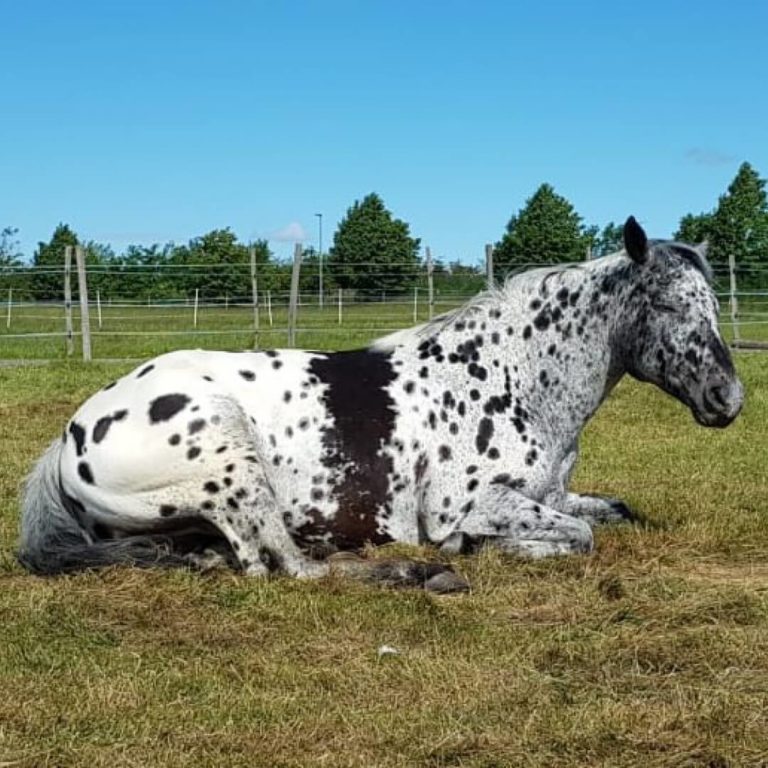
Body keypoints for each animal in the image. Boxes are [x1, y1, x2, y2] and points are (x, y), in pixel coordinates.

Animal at [18, 217, 744, 592]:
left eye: (712, 301)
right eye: (668, 304)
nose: (728, 399)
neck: (511, 379)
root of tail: (72, 436)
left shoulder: (554, 492)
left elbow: (612, 513)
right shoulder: (473, 504)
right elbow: (578, 537)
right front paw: (485, 549)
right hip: (231, 461)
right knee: (286, 568)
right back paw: (413, 571)